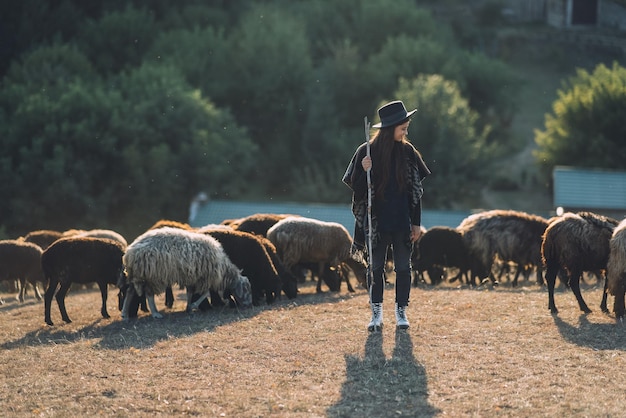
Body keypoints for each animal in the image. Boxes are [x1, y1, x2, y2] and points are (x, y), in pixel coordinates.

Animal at [120, 227, 251, 318]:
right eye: (246, 289)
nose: (249, 304)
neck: (223, 269)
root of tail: (129, 252)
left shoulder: (192, 277)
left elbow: (190, 293)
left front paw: (188, 307)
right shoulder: (204, 277)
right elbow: (205, 293)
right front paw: (193, 306)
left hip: (139, 275)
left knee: (130, 291)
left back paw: (125, 314)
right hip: (154, 276)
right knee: (149, 294)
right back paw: (155, 313)